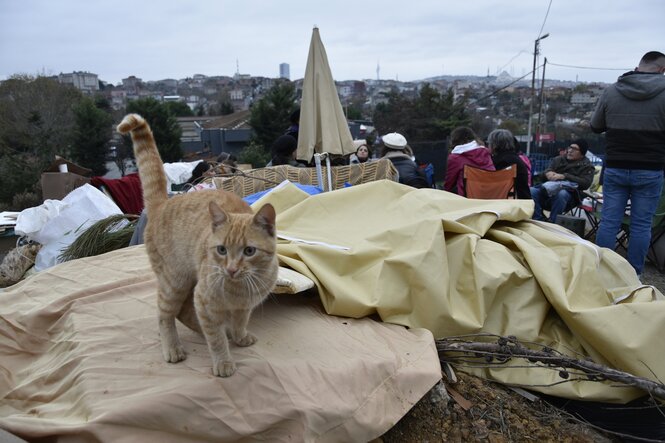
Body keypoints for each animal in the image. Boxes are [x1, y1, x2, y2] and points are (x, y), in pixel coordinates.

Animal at [116, 114, 278, 378]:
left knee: (182, 311)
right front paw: (223, 362)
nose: (231, 269)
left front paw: (239, 336)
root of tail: (163, 204)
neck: (238, 289)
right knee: (165, 314)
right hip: (175, 281)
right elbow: (216, 339)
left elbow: (239, 322)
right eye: (221, 250)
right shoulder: (204, 301)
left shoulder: (244, 307)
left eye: (249, 251)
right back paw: (172, 347)